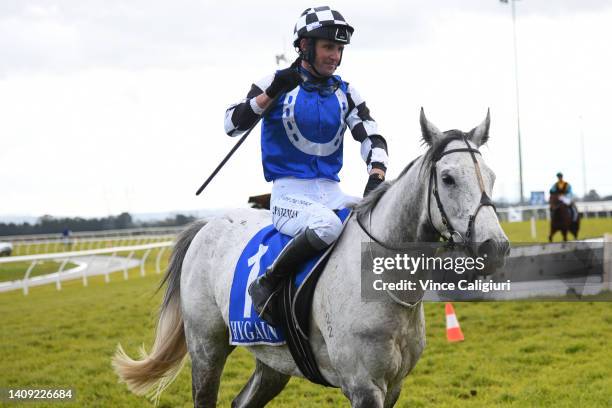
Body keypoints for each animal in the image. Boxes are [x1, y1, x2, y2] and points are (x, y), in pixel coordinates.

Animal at [112, 110, 510, 406]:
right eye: (448, 178)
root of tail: (206, 225)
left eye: (491, 176)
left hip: (273, 360)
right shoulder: (364, 387)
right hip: (206, 347)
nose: (496, 247)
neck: (380, 277)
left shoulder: (393, 386)